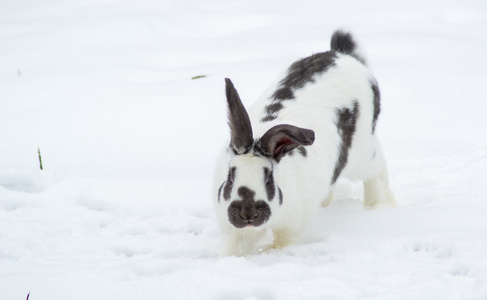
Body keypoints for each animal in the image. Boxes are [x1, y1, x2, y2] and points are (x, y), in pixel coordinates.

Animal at [214, 29, 396, 256]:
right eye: (231, 177)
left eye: (268, 179)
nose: (248, 213)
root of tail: (344, 56)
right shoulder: (234, 231)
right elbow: (236, 247)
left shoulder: (290, 226)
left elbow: (284, 242)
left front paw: (271, 252)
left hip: (361, 153)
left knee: (377, 168)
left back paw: (377, 206)